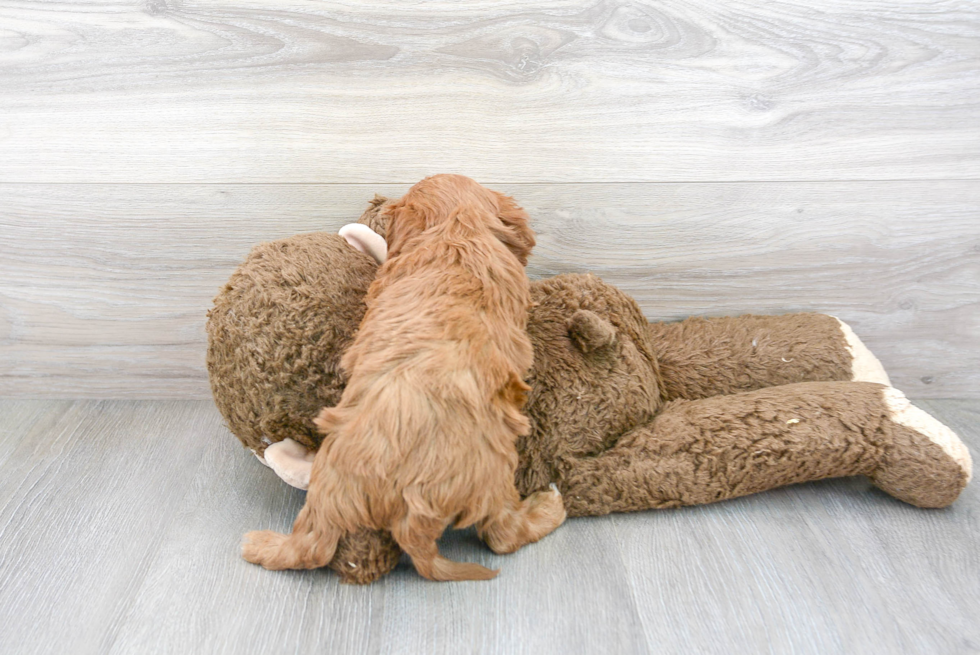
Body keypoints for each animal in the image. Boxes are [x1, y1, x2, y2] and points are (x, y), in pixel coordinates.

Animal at [241, 173, 568, 580]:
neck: (454, 232)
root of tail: (408, 510)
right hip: (496, 469)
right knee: (503, 535)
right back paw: (547, 507)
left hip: (326, 484)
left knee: (310, 547)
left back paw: (262, 546)